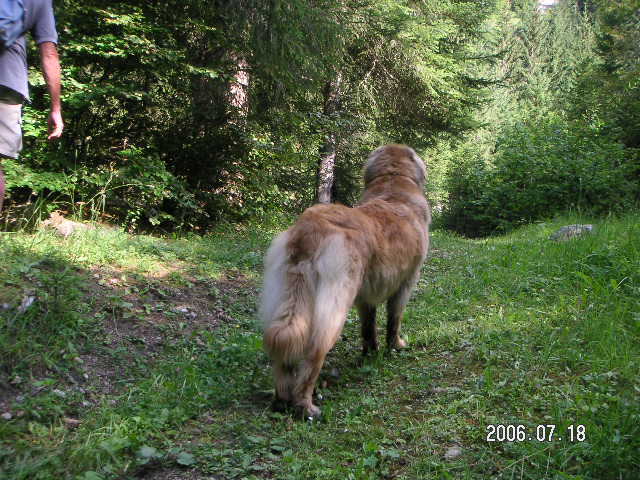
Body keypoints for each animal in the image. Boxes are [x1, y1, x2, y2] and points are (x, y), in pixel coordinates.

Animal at [258, 144, 430, 418]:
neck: (393, 183)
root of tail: (309, 229)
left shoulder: (365, 296)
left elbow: (368, 327)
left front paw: (371, 353)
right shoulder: (406, 282)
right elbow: (394, 320)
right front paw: (396, 346)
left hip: (287, 296)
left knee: (282, 351)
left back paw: (282, 398)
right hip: (335, 304)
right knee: (314, 353)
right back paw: (305, 405)